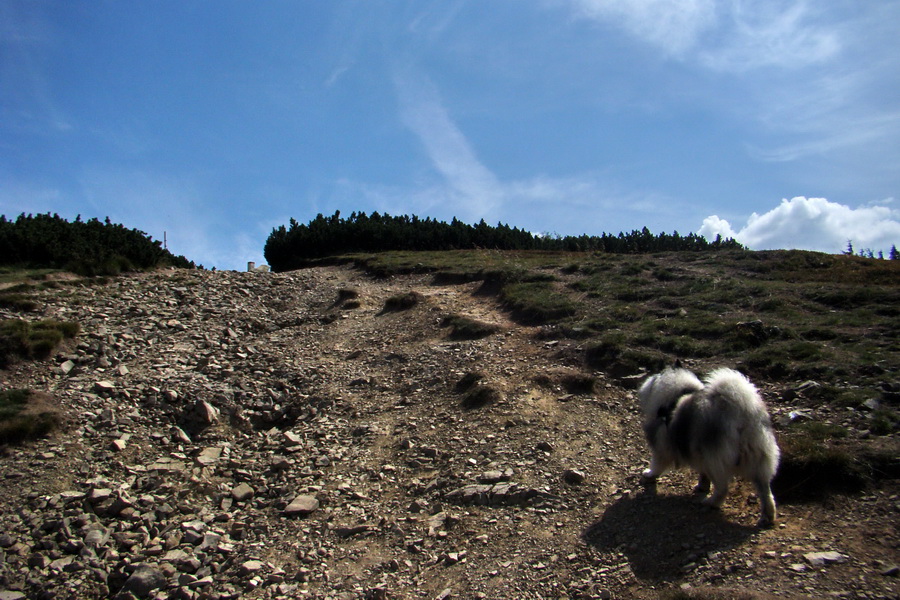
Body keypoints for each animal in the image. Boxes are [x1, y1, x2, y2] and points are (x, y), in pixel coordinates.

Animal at [640, 364, 780, 528]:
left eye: (657, 374)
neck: (676, 395)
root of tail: (740, 413)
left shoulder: (661, 446)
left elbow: (657, 465)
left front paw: (649, 475)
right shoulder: (698, 453)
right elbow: (703, 474)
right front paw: (702, 486)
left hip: (715, 460)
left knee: (722, 489)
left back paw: (711, 503)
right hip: (757, 458)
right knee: (765, 491)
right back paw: (767, 517)